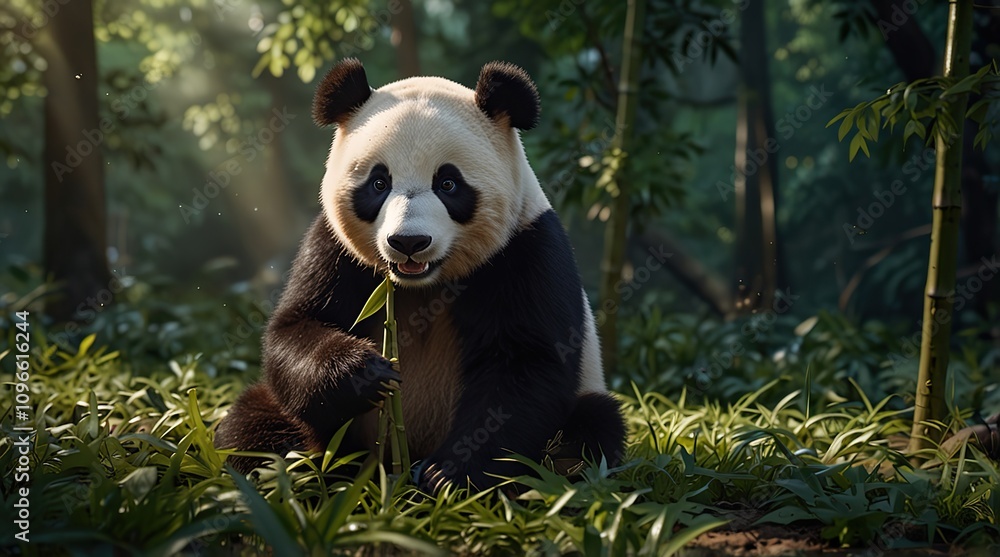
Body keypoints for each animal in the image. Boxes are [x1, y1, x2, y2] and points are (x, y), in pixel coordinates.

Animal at [214, 59, 625, 494]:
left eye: (448, 183)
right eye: (379, 182)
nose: (408, 241)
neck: (424, 284)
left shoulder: (526, 249)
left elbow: (527, 364)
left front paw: (448, 474)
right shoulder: (335, 249)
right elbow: (296, 326)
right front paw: (366, 373)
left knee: (589, 434)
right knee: (252, 425)